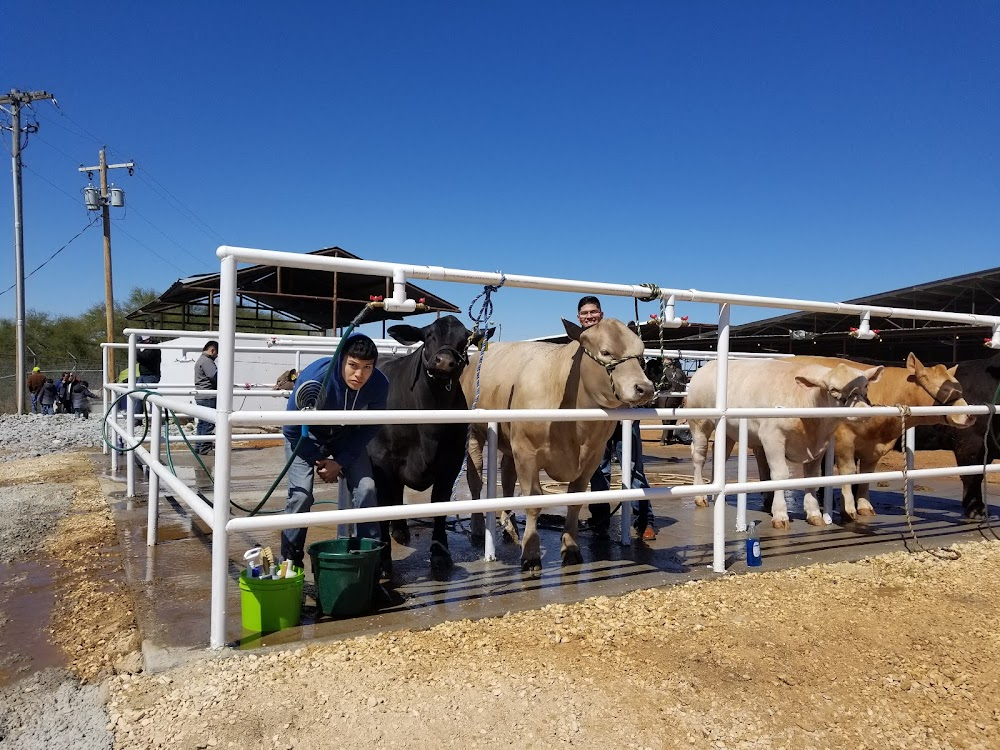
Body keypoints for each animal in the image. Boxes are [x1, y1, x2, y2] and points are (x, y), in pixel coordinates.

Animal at [368, 318, 492, 576]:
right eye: (428, 336)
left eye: (465, 340)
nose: (444, 361)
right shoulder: (380, 461)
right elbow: (382, 505)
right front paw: (382, 561)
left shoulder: (451, 462)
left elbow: (439, 504)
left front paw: (440, 554)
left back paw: (401, 531)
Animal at [462, 318, 656, 576]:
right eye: (605, 352)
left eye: (641, 353)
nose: (645, 388)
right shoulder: (527, 453)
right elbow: (533, 502)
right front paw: (531, 555)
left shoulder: (592, 457)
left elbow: (575, 500)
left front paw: (571, 548)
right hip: (475, 432)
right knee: (475, 479)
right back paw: (476, 529)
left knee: (508, 477)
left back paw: (511, 528)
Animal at [688, 358, 884, 528]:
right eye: (834, 389)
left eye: (866, 385)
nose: (863, 411)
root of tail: (706, 366)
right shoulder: (772, 436)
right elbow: (780, 475)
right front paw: (780, 514)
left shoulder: (820, 445)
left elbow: (812, 478)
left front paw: (814, 514)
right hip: (700, 423)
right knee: (699, 456)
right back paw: (700, 496)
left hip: (728, 430)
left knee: (719, 455)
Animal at [792, 354, 972, 520]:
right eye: (945, 389)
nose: (970, 415)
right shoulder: (844, 440)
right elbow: (849, 471)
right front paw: (849, 508)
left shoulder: (874, 448)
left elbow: (867, 474)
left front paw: (864, 506)